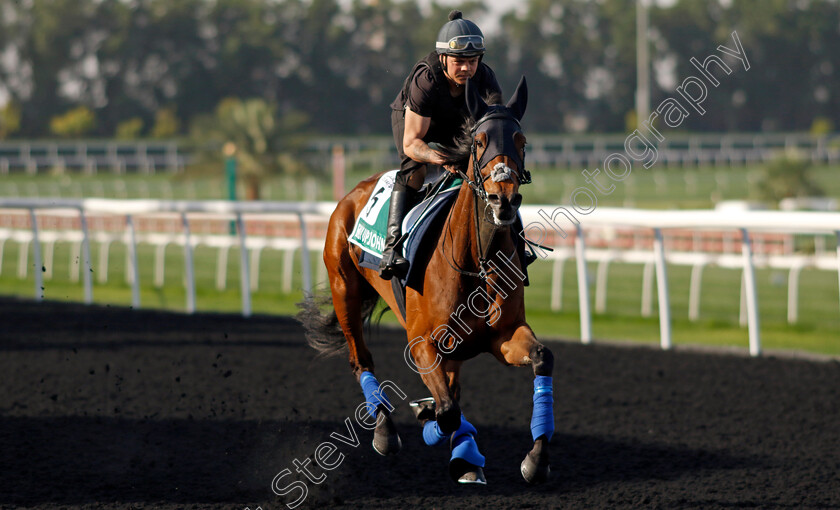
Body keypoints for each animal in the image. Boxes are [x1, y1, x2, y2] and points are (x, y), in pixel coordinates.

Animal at [298, 76, 556, 486]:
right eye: (479, 141)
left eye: (521, 141)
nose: (503, 200)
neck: (476, 261)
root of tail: (354, 192)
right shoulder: (421, 341)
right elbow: (447, 411)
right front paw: (430, 419)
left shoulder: (503, 335)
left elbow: (541, 358)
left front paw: (536, 458)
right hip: (344, 289)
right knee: (361, 359)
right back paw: (387, 432)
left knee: (452, 384)